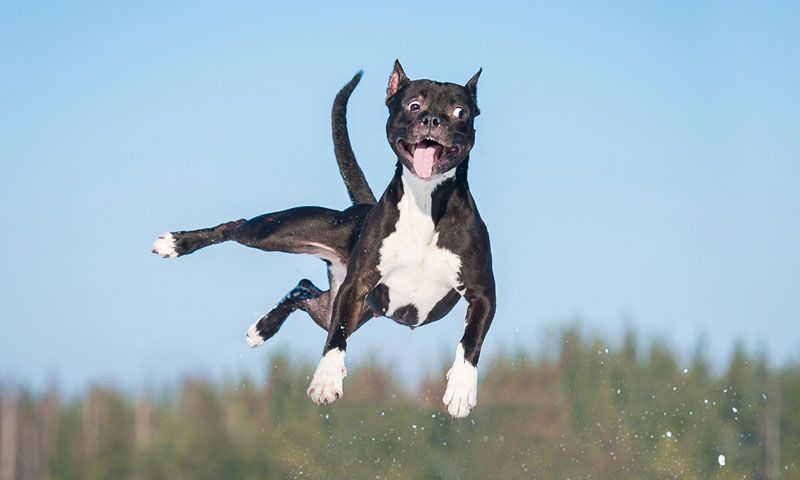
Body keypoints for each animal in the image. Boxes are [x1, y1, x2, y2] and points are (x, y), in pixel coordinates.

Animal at [152, 62, 494, 418]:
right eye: (414, 105)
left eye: (460, 112)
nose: (432, 120)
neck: (426, 201)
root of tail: (364, 207)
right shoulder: (355, 286)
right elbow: (336, 337)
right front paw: (327, 379)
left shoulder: (483, 295)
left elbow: (471, 340)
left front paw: (461, 389)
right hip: (276, 233)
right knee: (237, 227)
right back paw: (176, 244)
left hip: (334, 305)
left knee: (302, 288)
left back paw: (262, 329)